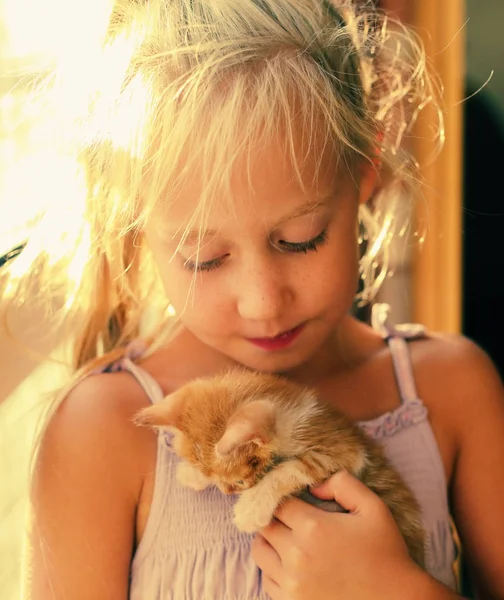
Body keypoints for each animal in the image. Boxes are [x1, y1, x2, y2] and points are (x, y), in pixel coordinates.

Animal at [135, 368, 426, 568]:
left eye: (239, 481)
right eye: (216, 480)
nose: (227, 492)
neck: (290, 415)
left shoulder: (345, 450)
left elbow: (291, 467)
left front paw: (252, 506)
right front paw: (191, 473)